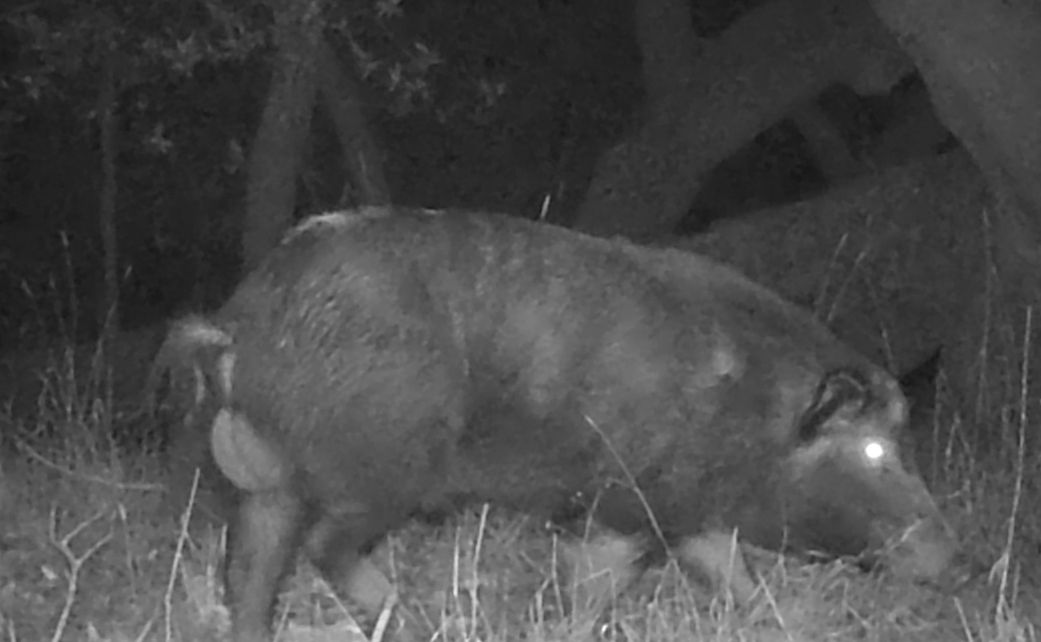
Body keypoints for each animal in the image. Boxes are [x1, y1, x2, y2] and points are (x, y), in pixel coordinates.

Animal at [155, 206, 961, 642]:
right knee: (322, 546)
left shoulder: (686, 513)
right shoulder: (625, 502)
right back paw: (413, 615)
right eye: (873, 448)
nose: (955, 558)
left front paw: (779, 616)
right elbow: (596, 585)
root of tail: (241, 328)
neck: (753, 412)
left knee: (249, 568)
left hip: (276, 479)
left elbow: (736, 577)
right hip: (382, 462)